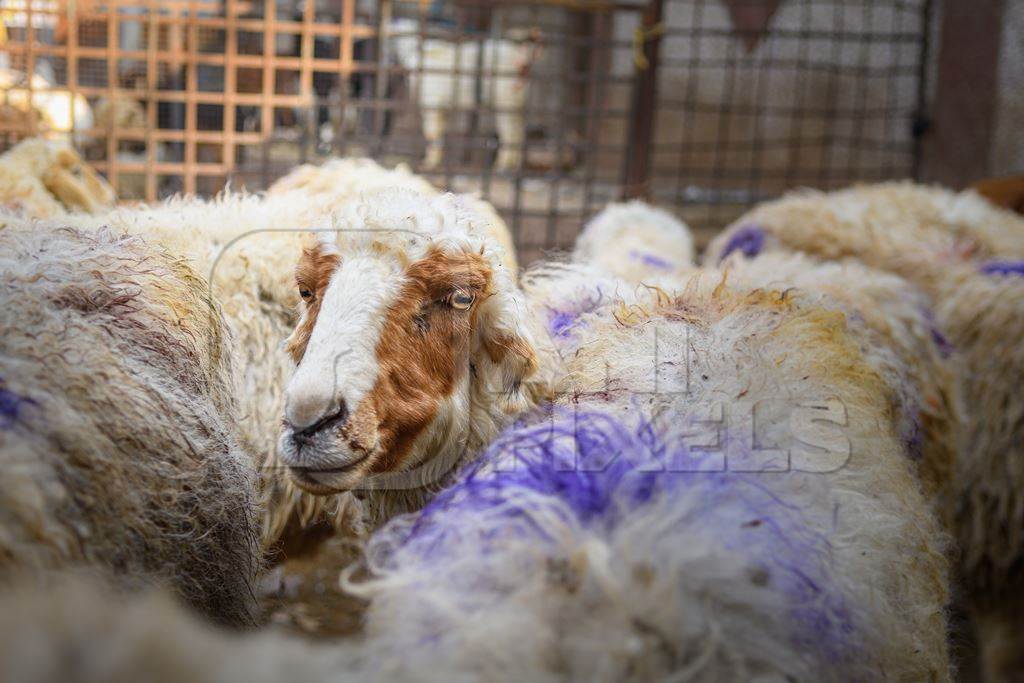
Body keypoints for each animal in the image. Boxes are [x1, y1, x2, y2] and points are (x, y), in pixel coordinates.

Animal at [389, 20, 540, 174]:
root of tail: (522, 58)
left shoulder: (432, 103)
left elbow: (432, 133)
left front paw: (430, 163)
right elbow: (439, 132)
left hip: (505, 102)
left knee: (509, 133)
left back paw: (501, 166)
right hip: (517, 104)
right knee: (519, 132)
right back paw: (515, 165)